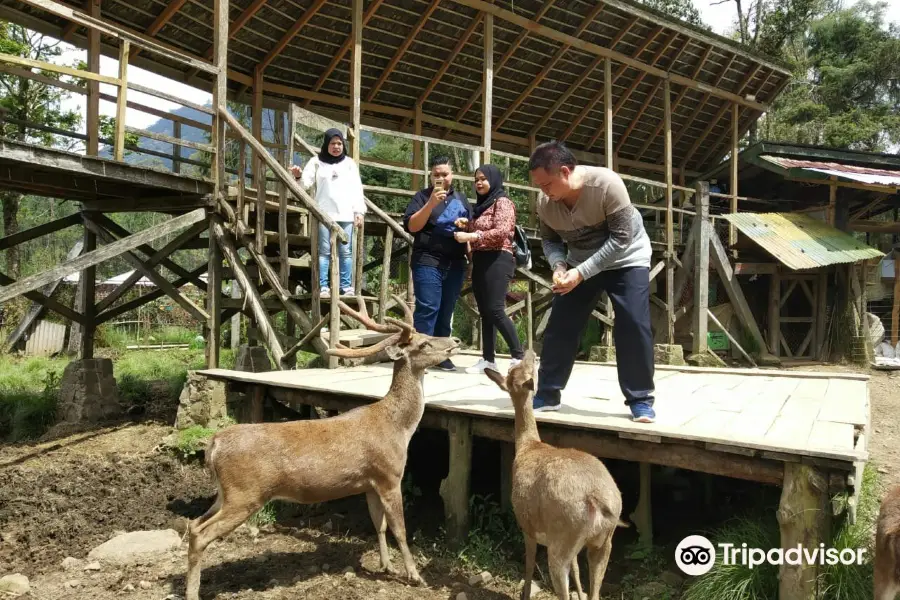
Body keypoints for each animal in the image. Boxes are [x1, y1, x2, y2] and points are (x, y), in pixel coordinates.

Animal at [185, 296, 460, 600]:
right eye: (423, 343)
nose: (456, 340)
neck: (399, 427)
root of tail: (214, 444)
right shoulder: (389, 473)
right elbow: (399, 528)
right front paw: (414, 575)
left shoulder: (370, 482)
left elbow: (379, 524)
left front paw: (386, 566)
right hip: (245, 493)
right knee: (201, 534)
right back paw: (192, 592)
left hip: (226, 494)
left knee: (193, 525)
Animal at [486, 350, 624, 600]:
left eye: (515, 370)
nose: (531, 353)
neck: (527, 447)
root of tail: (597, 499)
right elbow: (577, 571)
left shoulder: (526, 525)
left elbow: (529, 563)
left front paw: (524, 594)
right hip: (603, 542)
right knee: (595, 590)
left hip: (561, 541)